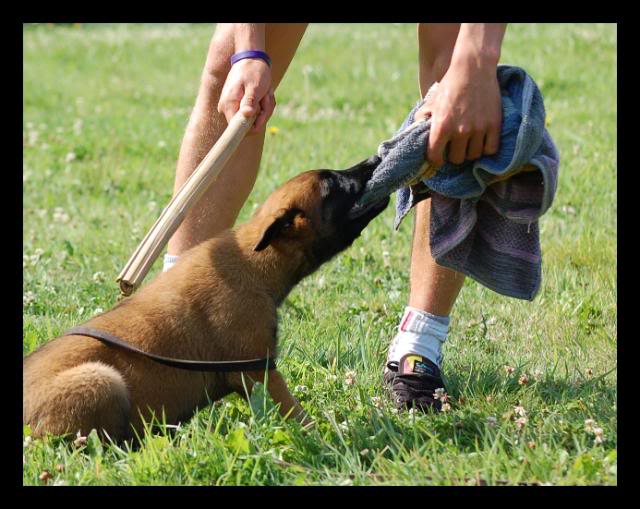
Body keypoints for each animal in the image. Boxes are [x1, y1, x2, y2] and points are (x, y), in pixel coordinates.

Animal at [22, 156, 390, 440]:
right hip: (101, 380)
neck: (253, 263)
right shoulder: (258, 371)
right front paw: (328, 442)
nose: (375, 159)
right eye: (331, 187)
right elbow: (297, 414)